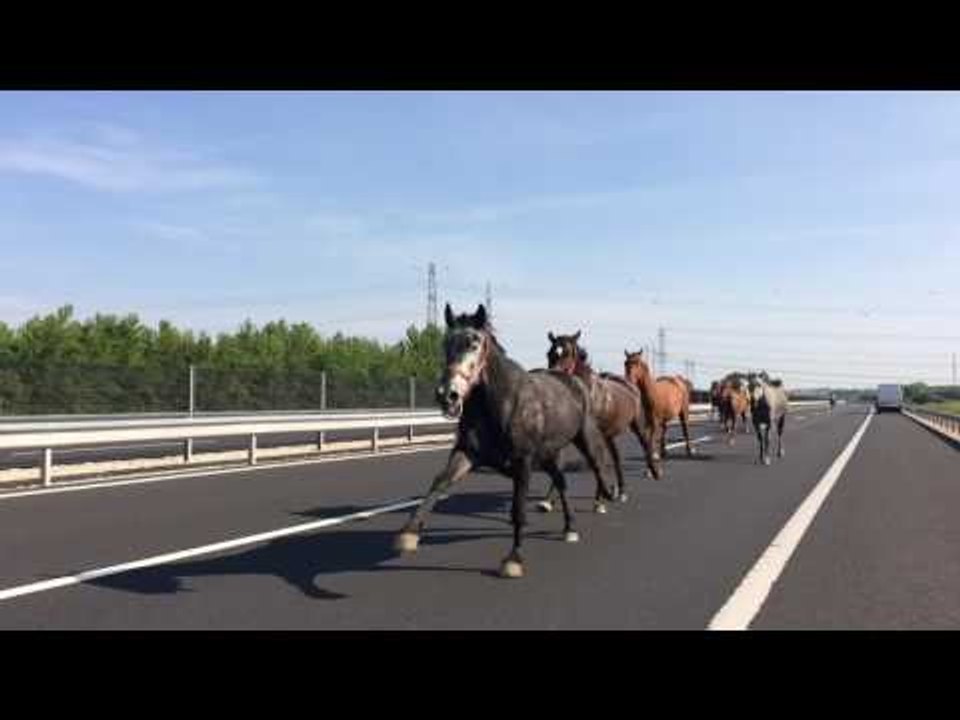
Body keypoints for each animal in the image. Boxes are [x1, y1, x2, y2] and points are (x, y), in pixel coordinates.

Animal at [393, 303, 617, 579]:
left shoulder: (523, 462)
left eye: (474, 343)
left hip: (582, 437)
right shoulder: (467, 452)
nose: (448, 395)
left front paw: (513, 559)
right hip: (548, 454)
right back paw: (570, 527)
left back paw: (606, 495)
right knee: (561, 481)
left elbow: (518, 510)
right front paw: (409, 533)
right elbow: (440, 482)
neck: (502, 404)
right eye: (445, 343)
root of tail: (573, 381)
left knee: (596, 464)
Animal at [537, 330, 655, 513]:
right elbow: (561, 463)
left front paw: (599, 503)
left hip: (634, 426)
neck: (584, 393)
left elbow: (598, 462)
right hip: (609, 435)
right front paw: (547, 501)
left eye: (568, 353)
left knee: (643, 444)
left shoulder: (594, 435)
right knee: (616, 458)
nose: (552, 377)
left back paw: (650, 474)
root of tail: (630, 385)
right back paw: (621, 491)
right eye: (549, 353)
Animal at [623, 350, 696, 479]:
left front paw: (653, 470)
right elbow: (647, 444)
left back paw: (689, 450)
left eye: (637, 363)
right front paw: (650, 469)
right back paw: (663, 453)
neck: (651, 395)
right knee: (664, 431)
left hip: (683, 412)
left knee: (685, 429)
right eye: (625, 363)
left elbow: (651, 443)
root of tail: (680, 380)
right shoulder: (647, 424)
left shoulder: (654, 424)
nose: (628, 381)